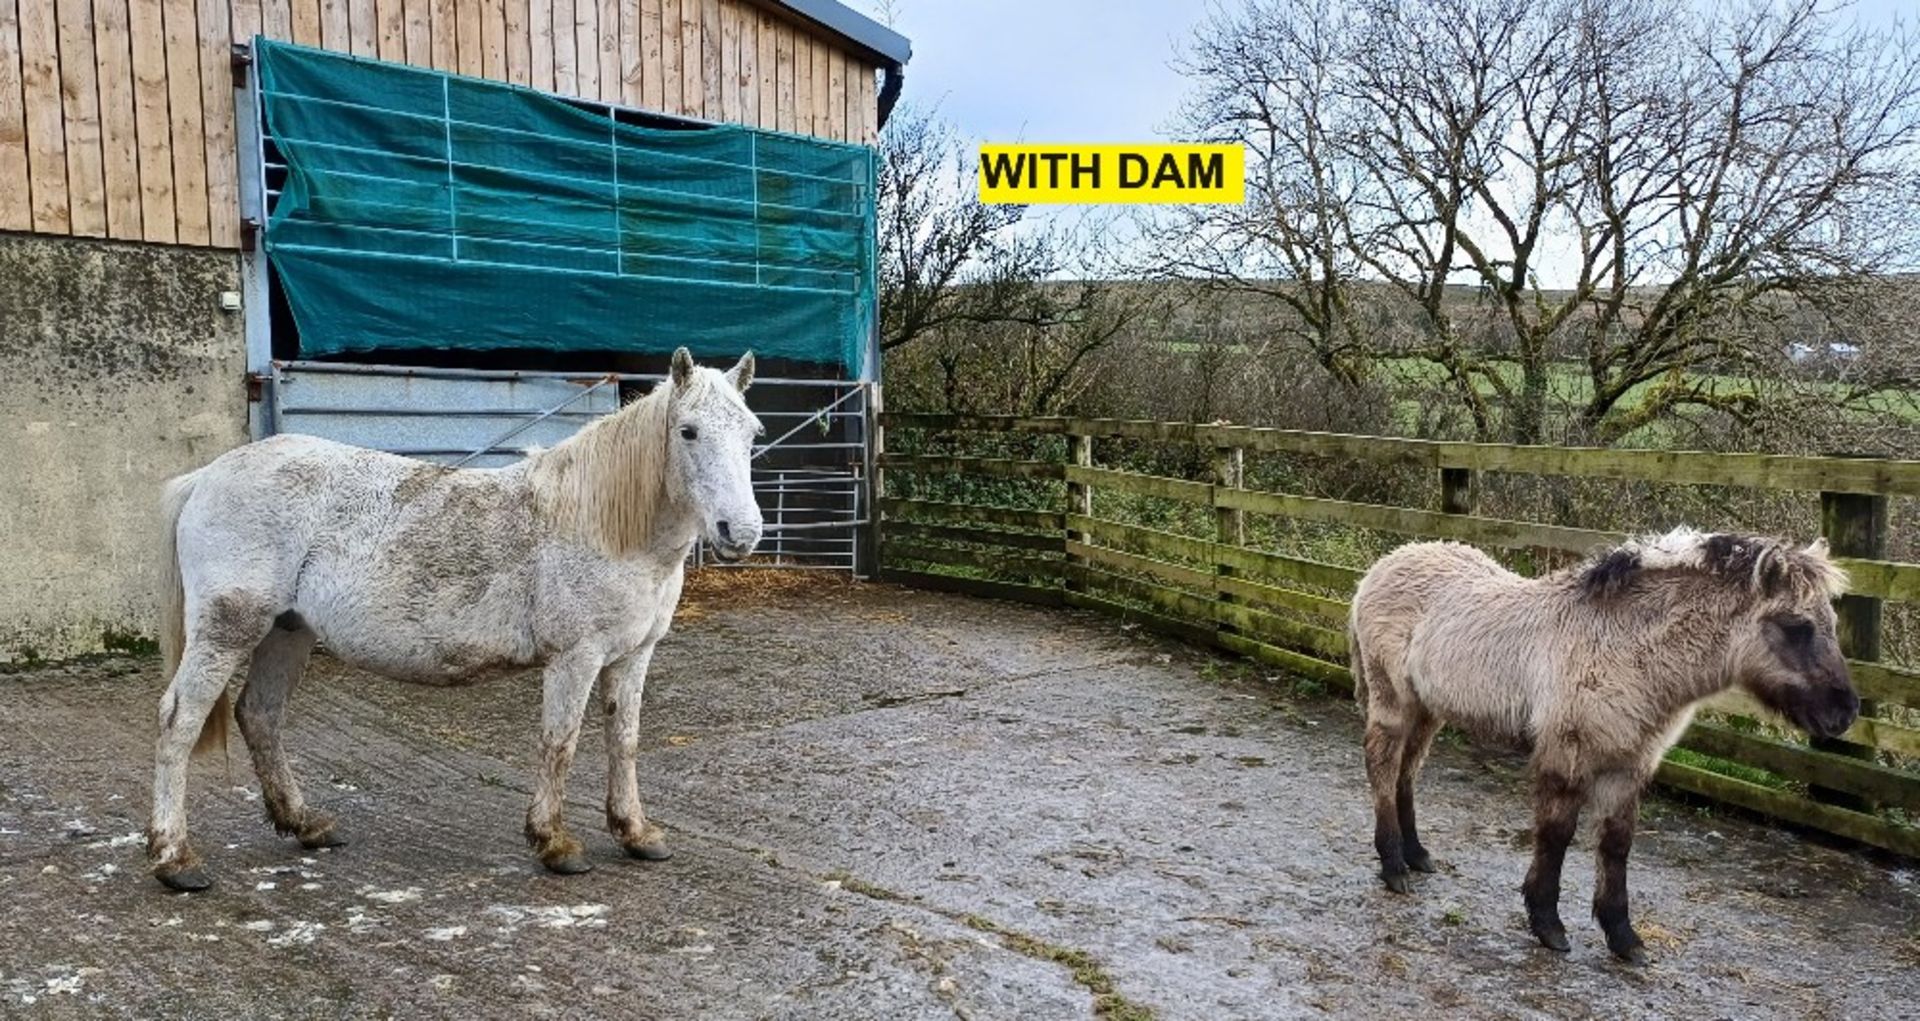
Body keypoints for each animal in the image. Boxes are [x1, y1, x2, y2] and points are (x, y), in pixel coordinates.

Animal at [146, 348, 763, 891]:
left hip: (286, 632)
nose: (741, 532)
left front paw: (636, 833)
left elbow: (625, 739)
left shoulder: (633, 655)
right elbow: (560, 742)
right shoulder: (576, 658)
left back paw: (307, 825)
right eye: (688, 431)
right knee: (180, 722)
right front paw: (555, 843)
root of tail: (208, 476)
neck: (602, 525)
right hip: (228, 630)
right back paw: (175, 858)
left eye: (752, 433)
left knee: (261, 716)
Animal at [1348, 529, 1856, 963]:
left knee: (1407, 771)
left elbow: (1617, 844)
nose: (1845, 712)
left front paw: (1623, 937)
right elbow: (1556, 834)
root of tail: (1383, 565)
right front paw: (1548, 924)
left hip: (1428, 709)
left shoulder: (1628, 765)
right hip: (1393, 699)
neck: (1626, 649)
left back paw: (1416, 855)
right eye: (1796, 626)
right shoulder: (1568, 753)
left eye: (1832, 623)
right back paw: (1393, 864)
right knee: (1383, 765)